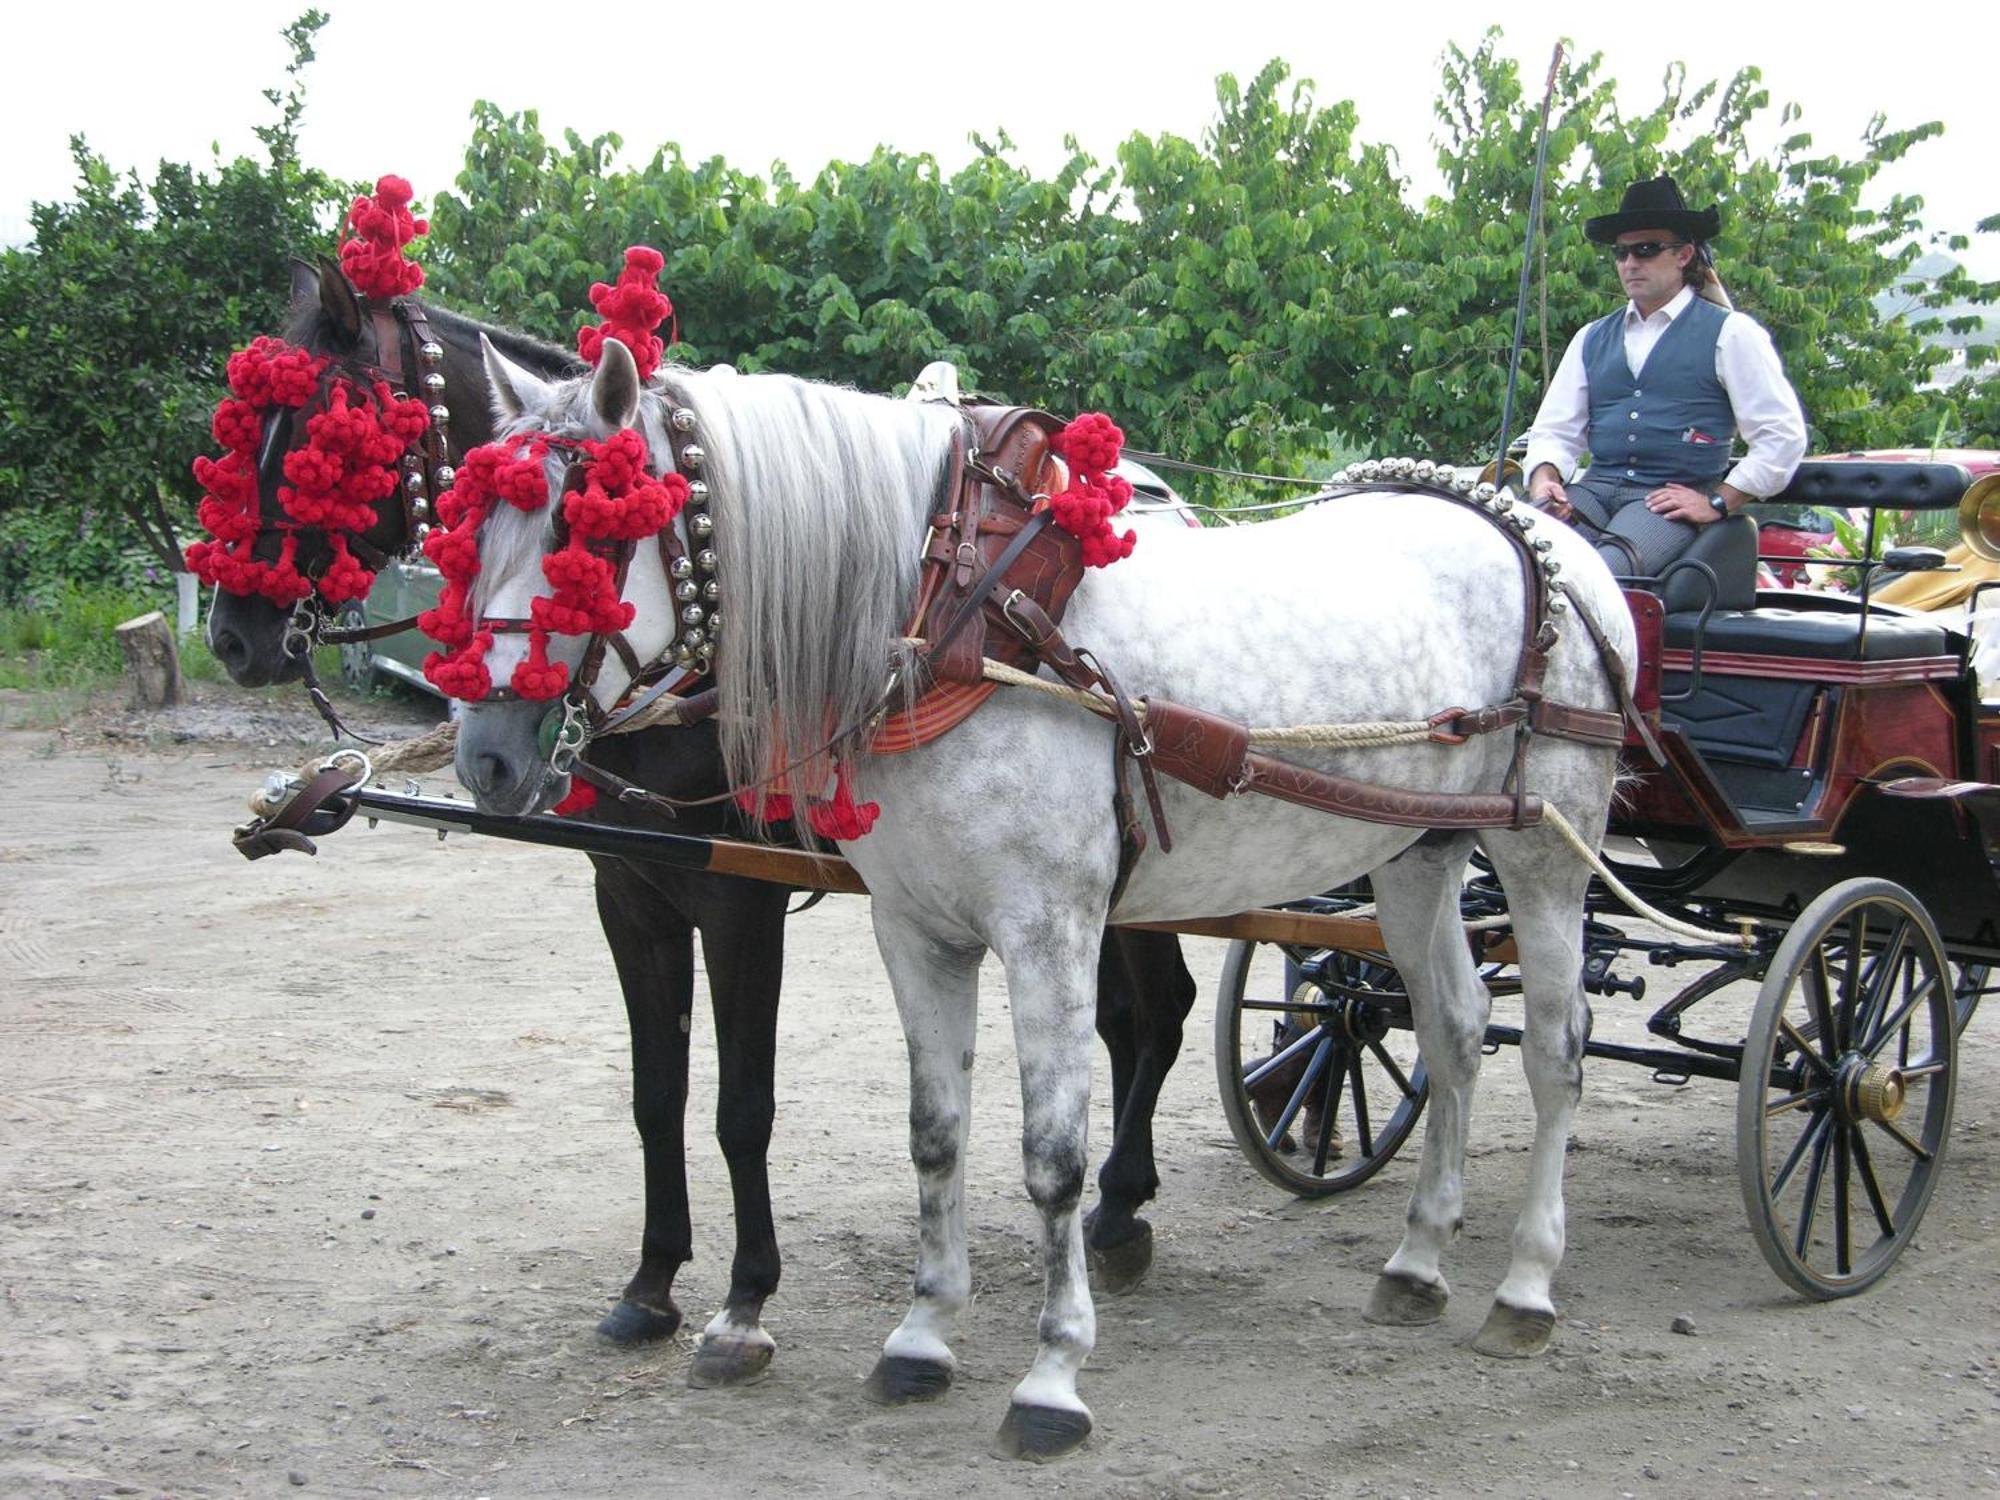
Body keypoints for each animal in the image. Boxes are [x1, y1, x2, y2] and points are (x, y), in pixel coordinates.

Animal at [203, 268, 1192, 1384]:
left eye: (324, 429)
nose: (233, 635)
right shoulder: (631, 894)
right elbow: (657, 1096)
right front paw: (652, 1282)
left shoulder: (736, 897)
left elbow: (741, 1106)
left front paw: (744, 1300)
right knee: (1141, 1017)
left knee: (1154, 1014)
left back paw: (1117, 1204)